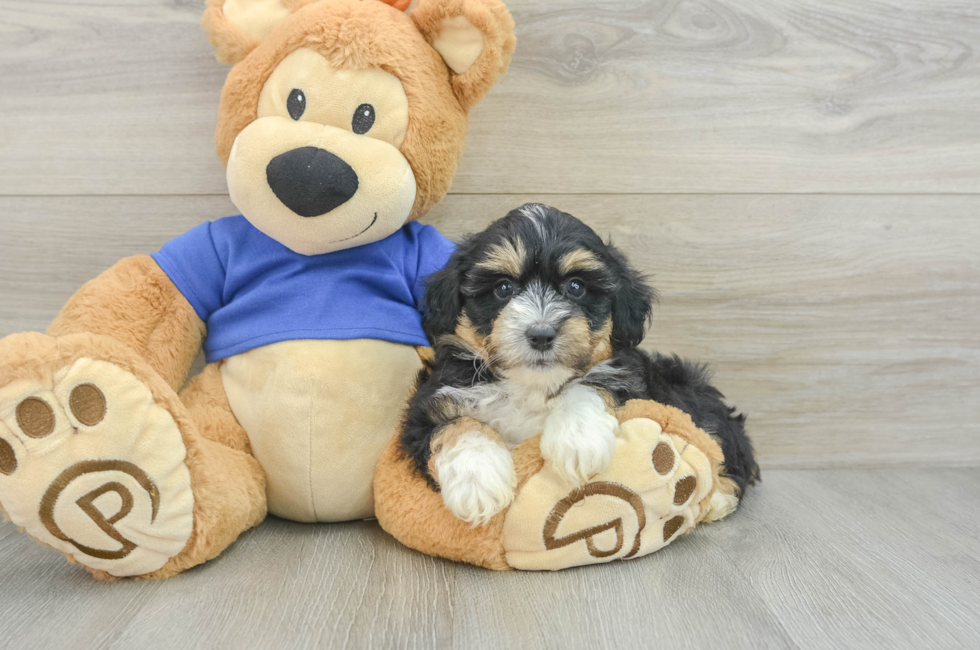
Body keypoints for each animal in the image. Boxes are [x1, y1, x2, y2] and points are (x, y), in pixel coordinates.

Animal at [398, 205, 756, 524]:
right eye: (503, 288)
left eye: (576, 287)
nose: (541, 334)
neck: (532, 385)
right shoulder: (430, 403)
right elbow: (456, 424)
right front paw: (478, 482)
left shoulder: (630, 381)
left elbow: (589, 384)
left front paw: (578, 440)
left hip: (691, 395)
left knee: (727, 455)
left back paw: (717, 500)